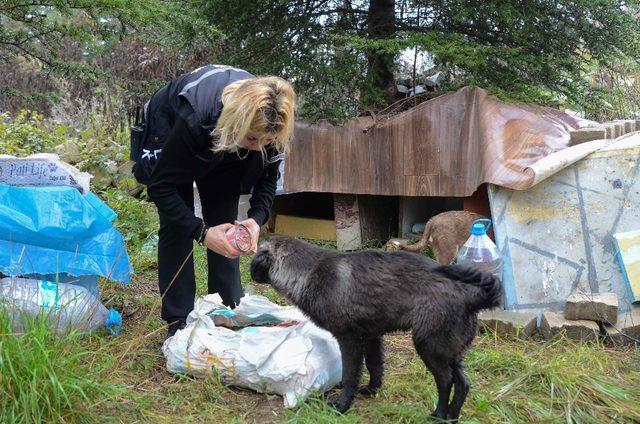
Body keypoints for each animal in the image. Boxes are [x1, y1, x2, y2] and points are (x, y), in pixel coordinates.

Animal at [248, 237, 502, 420]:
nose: (249, 275)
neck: (309, 271)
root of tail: (471, 296)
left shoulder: (349, 339)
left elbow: (350, 375)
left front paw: (342, 406)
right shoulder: (371, 337)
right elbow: (375, 366)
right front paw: (372, 390)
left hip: (429, 348)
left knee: (446, 382)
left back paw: (439, 415)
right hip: (449, 352)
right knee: (463, 384)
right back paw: (452, 416)